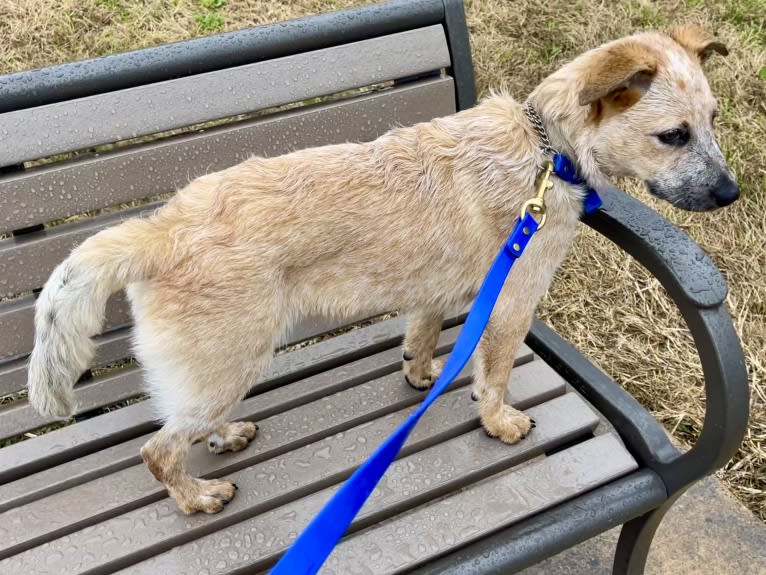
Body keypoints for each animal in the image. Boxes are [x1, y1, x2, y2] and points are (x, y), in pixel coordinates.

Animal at [28, 24, 736, 516]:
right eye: (674, 135)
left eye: (713, 122)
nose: (731, 193)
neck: (546, 151)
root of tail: (157, 230)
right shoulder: (512, 304)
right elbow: (496, 378)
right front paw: (499, 422)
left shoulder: (433, 294)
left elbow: (420, 339)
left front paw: (420, 375)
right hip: (231, 359)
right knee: (158, 449)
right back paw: (197, 496)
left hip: (217, 372)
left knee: (188, 424)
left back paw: (226, 435)